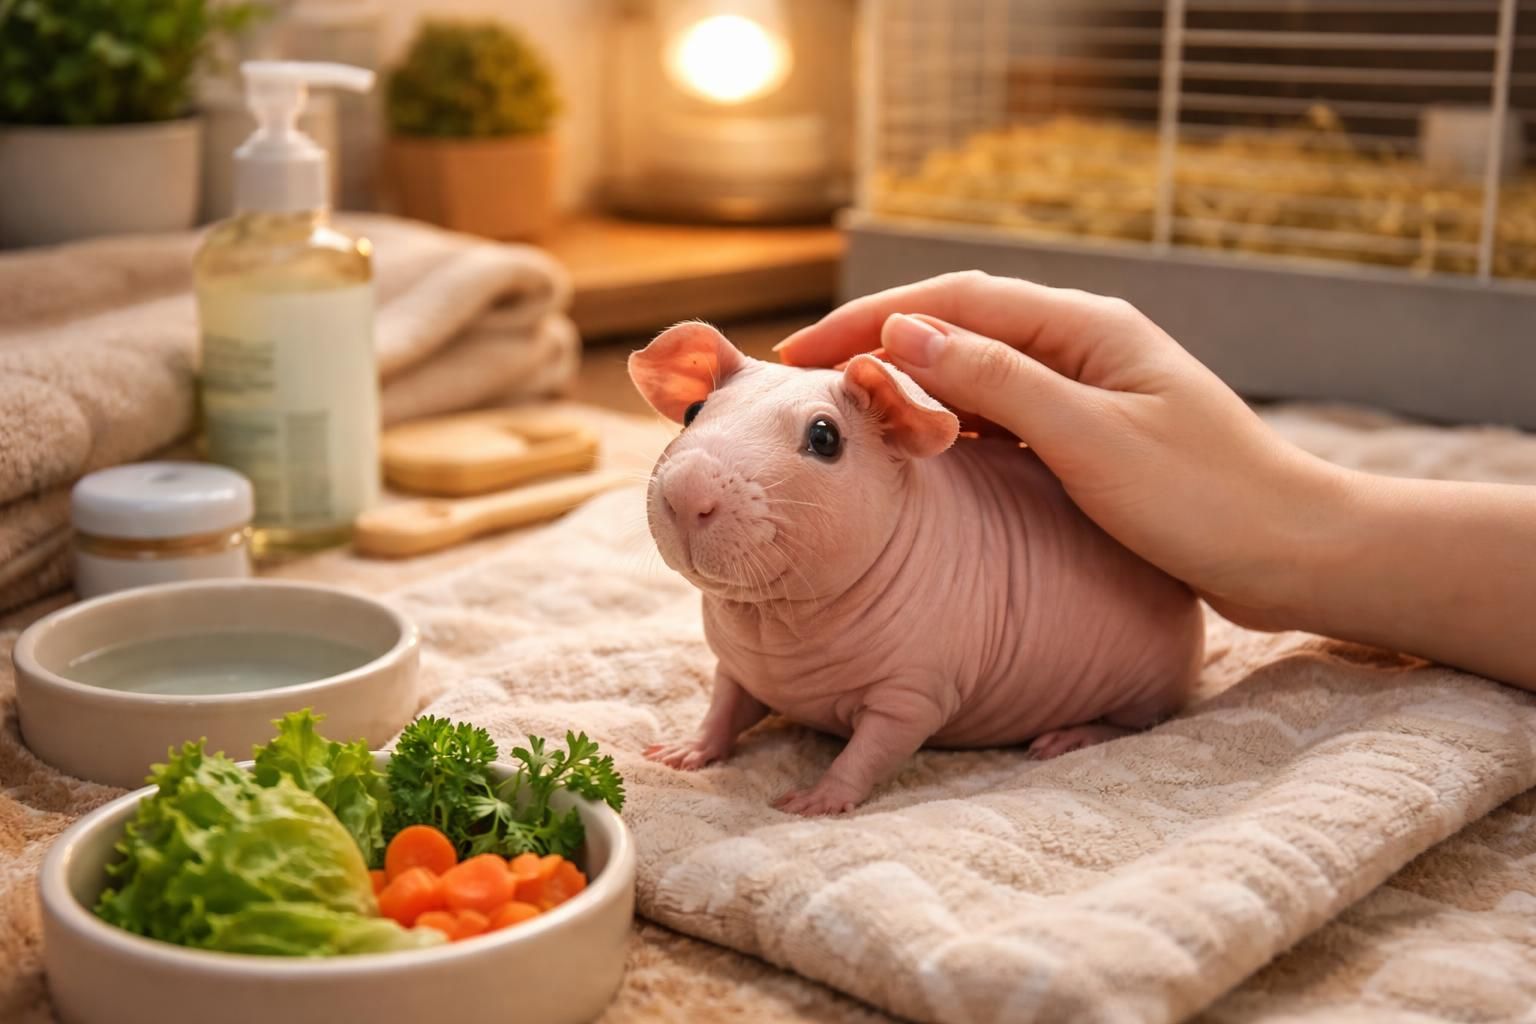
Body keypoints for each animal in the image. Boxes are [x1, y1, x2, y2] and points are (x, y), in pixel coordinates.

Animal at [629, 321, 1204, 816]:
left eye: (824, 437)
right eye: (693, 411)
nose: (686, 494)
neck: (776, 618)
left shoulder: (912, 693)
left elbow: (875, 747)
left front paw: (820, 798)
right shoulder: (737, 665)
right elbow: (725, 704)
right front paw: (689, 748)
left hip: (1148, 690)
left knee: (1135, 725)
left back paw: (1075, 736)